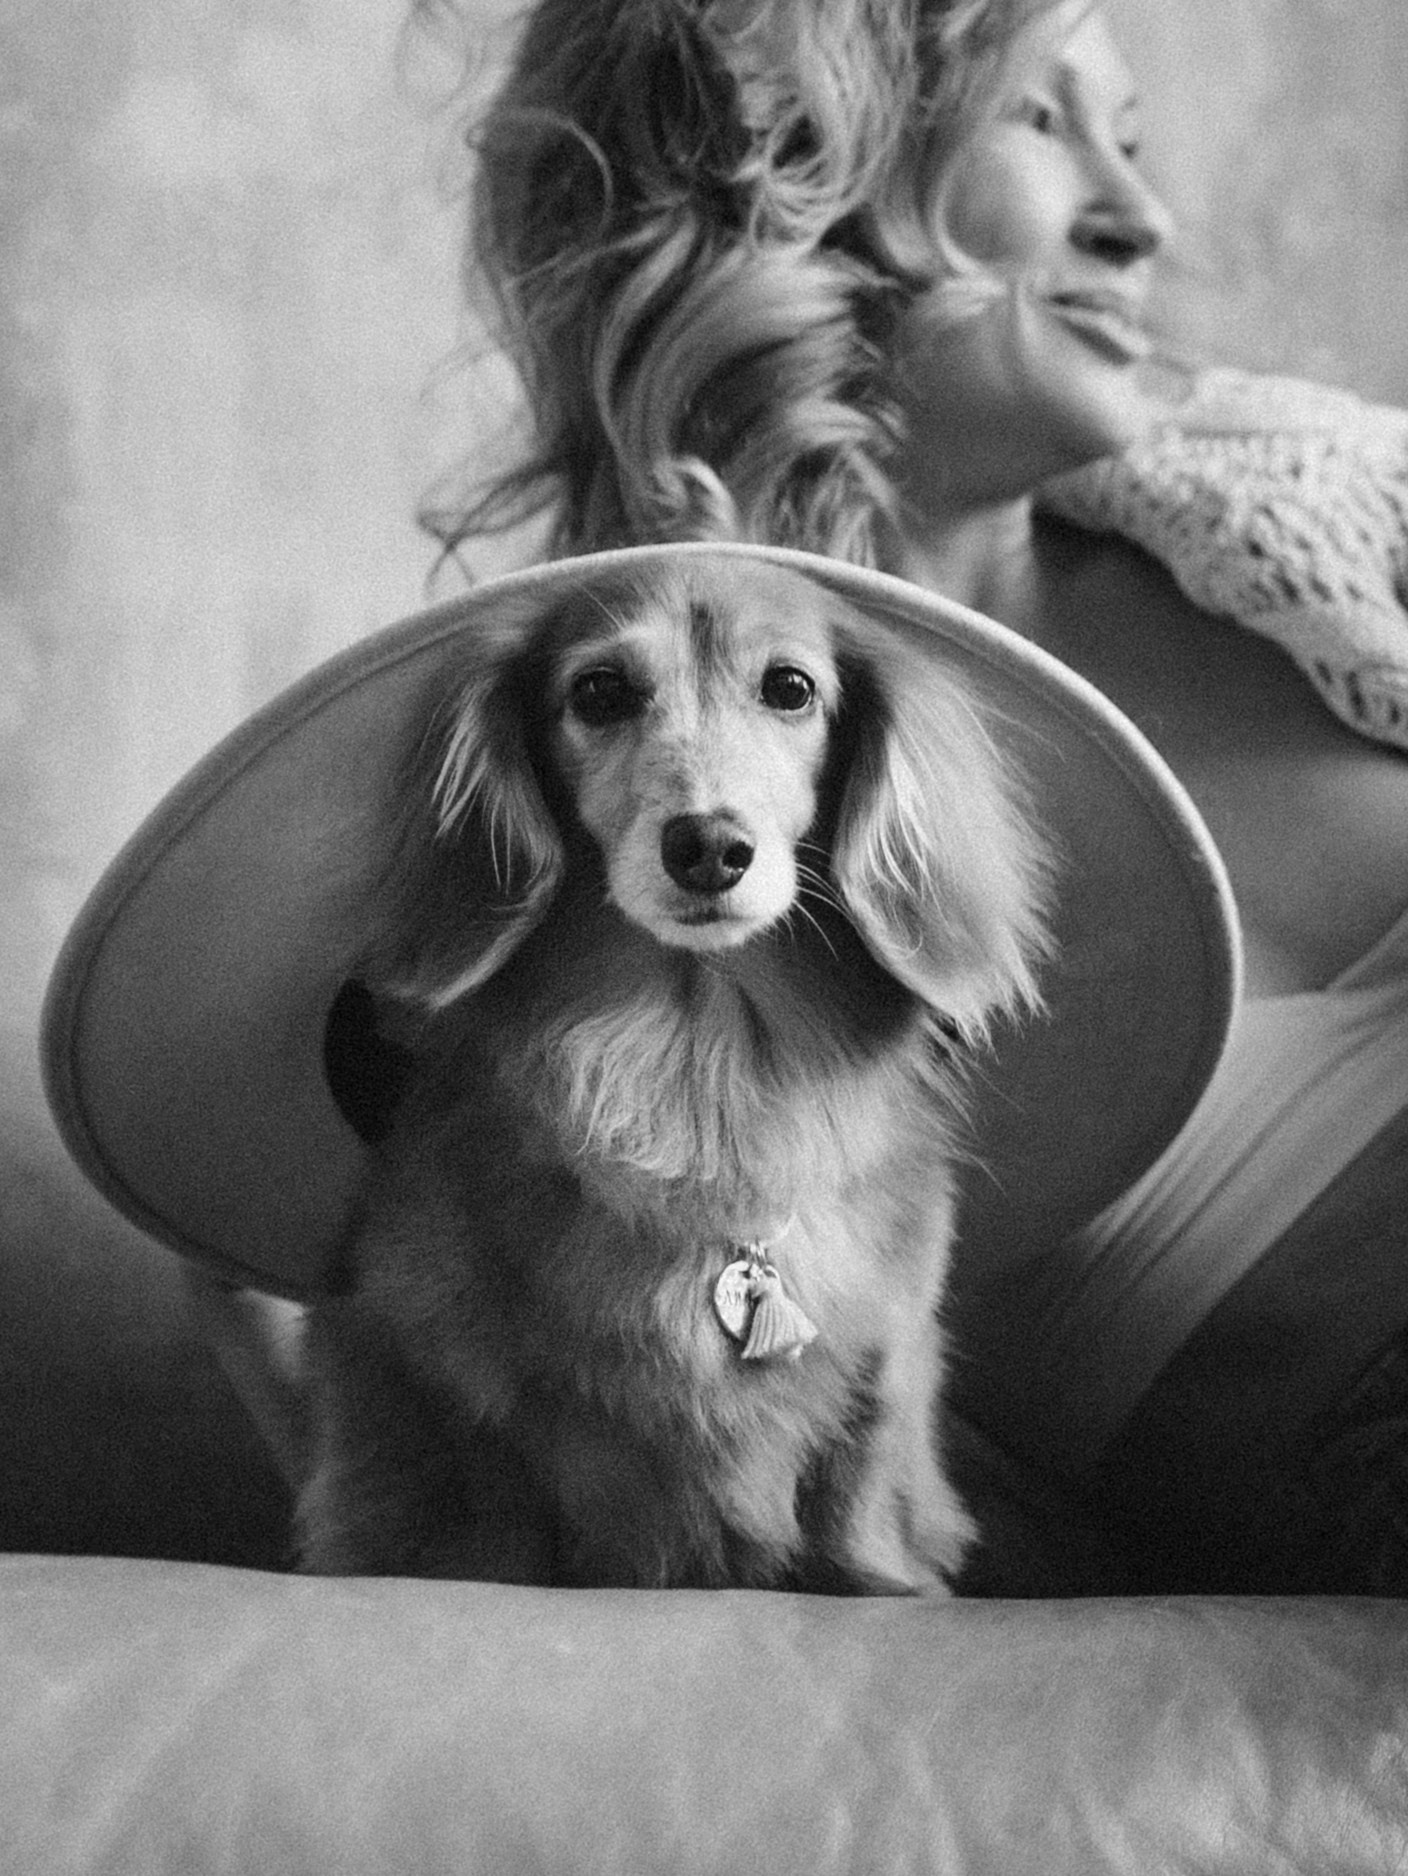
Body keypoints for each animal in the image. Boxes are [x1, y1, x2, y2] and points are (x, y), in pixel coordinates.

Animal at [300, 553, 1051, 1592]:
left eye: (791, 688)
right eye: (599, 692)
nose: (708, 846)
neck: (701, 1079)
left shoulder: (883, 1359)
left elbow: (859, 1516)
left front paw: (884, 1585)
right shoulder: (449, 1386)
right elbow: (491, 1529)